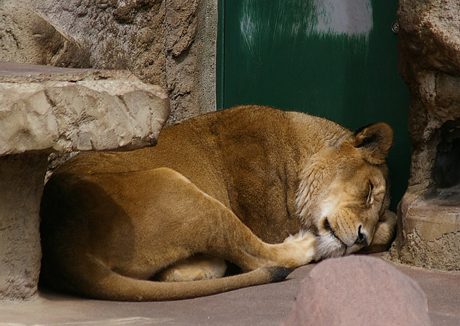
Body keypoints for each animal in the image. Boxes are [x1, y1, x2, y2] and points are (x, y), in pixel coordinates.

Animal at [40, 104, 396, 300]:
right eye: (368, 190)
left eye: (375, 206)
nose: (361, 238)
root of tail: (62, 243)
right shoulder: (267, 219)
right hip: (178, 188)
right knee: (257, 257)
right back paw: (307, 244)